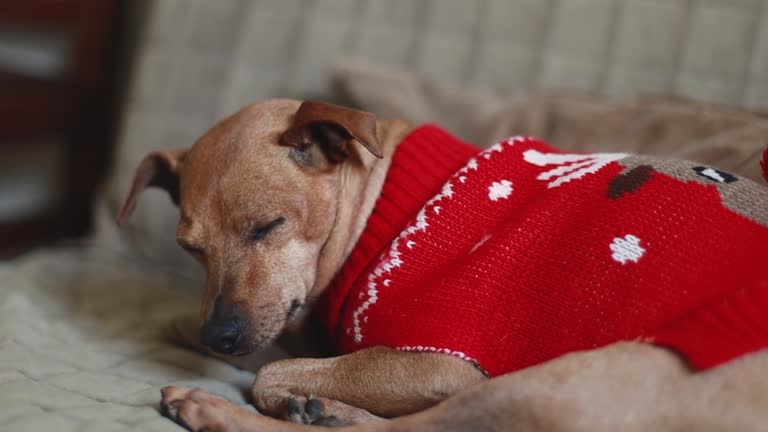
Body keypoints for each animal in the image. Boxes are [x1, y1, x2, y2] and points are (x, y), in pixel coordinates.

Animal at [115, 99, 768, 430]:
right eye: (191, 249)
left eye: (268, 226)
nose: (219, 338)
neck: (383, 207)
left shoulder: (445, 366)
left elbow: (273, 371)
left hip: (563, 386)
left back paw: (222, 409)